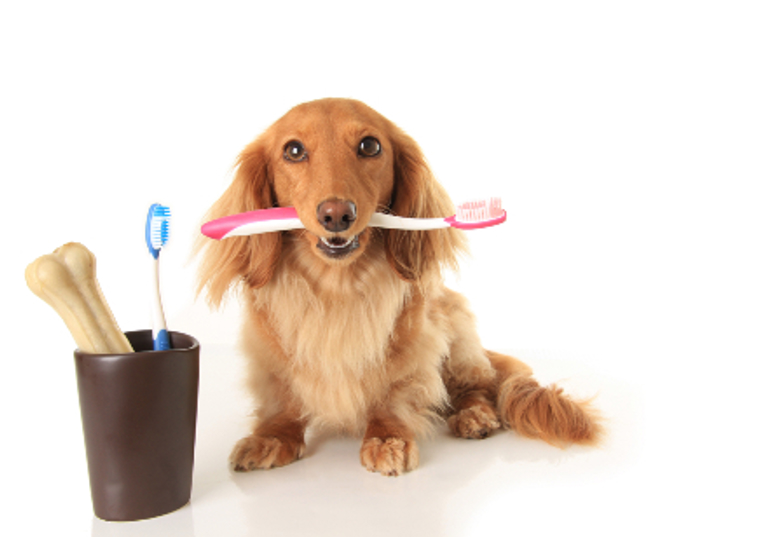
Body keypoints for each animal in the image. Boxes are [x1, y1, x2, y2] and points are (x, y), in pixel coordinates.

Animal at [196, 98, 604, 476]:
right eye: (293, 151)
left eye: (369, 146)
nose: (337, 215)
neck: (337, 287)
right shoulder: (271, 351)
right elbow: (282, 398)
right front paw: (273, 436)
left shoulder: (411, 344)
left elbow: (391, 393)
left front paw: (387, 438)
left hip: (455, 335)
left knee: (477, 386)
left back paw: (474, 415)